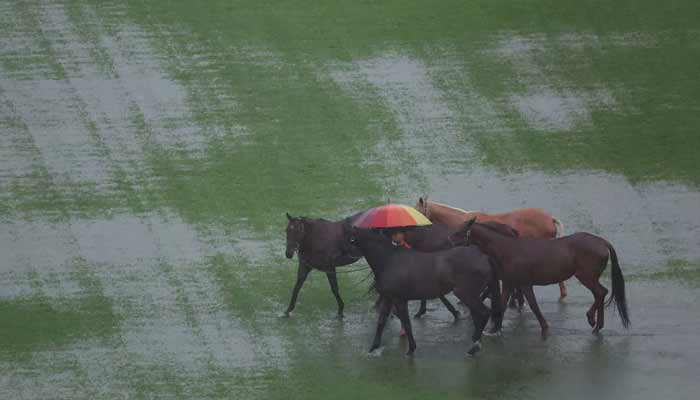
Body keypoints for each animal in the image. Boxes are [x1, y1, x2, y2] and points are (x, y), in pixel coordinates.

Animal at [342, 222, 502, 356]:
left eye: (351, 239)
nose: (344, 255)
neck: (390, 260)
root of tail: (484, 256)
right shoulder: (388, 298)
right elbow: (381, 322)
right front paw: (373, 348)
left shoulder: (399, 300)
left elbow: (407, 323)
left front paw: (411, 349)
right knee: (478, 315)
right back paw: (475, 343)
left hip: (465, 293)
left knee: (484, 313)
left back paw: (474, 347)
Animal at [464, 220, 630, 338]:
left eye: (460, 232)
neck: (507, 249)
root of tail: (603, 242)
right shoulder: (509, 282)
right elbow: (503, 305)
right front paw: (494, 330)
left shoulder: (523, 283)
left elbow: (533, 305)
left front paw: (544, 328)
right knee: (600, 294)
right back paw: (594, 321)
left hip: (586, 276)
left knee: (601, 292)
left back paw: (594, 323)